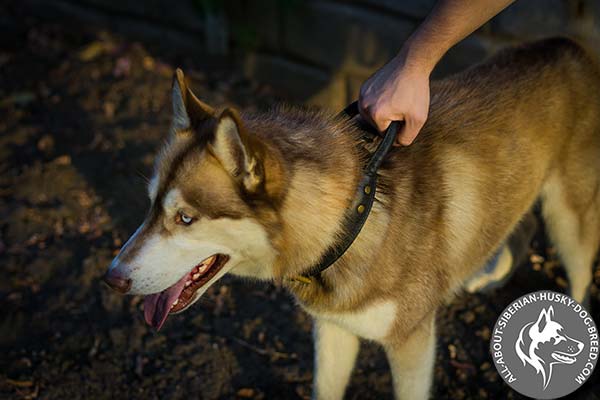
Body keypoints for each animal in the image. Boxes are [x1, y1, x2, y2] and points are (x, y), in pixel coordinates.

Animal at [105, 38, 600, 400]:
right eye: (150, 205)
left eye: (186, 218)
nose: (112, 278)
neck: (351, 223)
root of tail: (569, 44)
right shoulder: (333, 331)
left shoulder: (412, 344)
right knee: (521, 227)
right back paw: (490, 276)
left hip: (568, 216)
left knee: (578, 273)